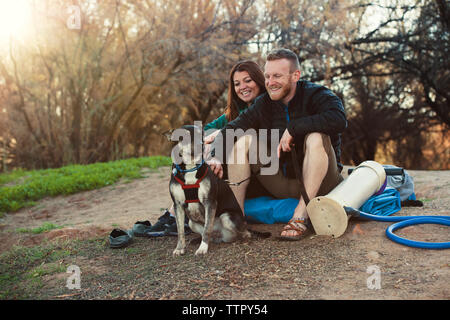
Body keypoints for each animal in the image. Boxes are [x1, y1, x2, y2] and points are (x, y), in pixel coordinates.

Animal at [166, 124, 268, 256]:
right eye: (184, 136)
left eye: (202, 135)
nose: (201, 145)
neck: (190, 168)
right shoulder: (178, 205)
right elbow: (180, 231)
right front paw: (179, 248)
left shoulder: (210, 202)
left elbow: (207, 229)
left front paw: (202, 248)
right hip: (191, 223)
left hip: (227, 217)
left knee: (244, 232)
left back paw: (243, 236)